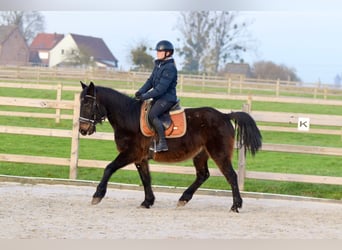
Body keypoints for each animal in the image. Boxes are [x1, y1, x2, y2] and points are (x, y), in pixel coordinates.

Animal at [78, 81, 262, 212]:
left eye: (87, 104)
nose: (83, 129)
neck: (129, 118)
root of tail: (224, 116)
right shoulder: (140, 158)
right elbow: (146, 178)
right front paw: (147, 201)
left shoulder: (131, 153)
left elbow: (109, 168)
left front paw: (97, 195)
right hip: (200, 154)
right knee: (203, 175)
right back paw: (183, 199)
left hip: (219, 153)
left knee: (231, 175)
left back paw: (236, 205)